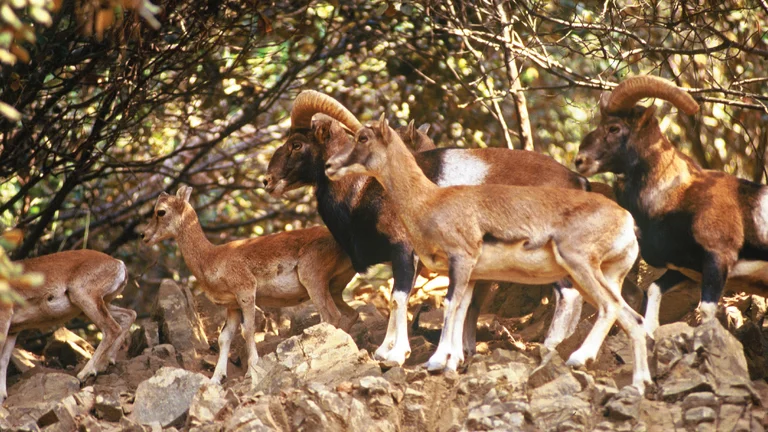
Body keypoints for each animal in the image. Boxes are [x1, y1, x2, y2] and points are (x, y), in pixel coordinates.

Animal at [0, 249, 136, 403]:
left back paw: (84, 374)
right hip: (94, 306)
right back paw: (105, 364)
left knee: (112, 328)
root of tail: (119, 264)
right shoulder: (13, 331)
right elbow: (4, 360)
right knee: (129, 315)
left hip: (84, 297)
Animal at [141, 186, 357, 383]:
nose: (144, 236)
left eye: (161, 211)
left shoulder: (245, 291)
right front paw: (216, 379)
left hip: (313, 281)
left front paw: (252, 371)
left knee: (330, 316)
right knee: (350, 314)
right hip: (334, 288)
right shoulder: (232, 306)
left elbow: (248, 330)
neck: (211, 258)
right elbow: (225, 338)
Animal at [263, 91, 589, 365]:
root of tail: (576, 181)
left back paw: (552, 348)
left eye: (296, 144)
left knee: (569, 295)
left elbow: (398, 298)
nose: (268, 181)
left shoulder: (403, 251)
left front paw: (394, 355)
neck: (363, 189)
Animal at [324, 113, 652, 392]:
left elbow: (448, 304)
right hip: (607, 275)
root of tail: (626, 221)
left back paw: (573, 357)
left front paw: (432, 361)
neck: (430, 200)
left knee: (606, 307)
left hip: (581, 270)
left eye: (363, 137)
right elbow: (462, 308)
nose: (329, 166)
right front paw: (452, 361)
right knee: (631, 316)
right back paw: (638, 384)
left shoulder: (458, 262)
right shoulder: (469, 273)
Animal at [575, 75, 768, 333]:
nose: (580, 161)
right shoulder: (685, 269)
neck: (676, 194)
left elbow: (706, 311)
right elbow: (654, 289)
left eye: (614, 128)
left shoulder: (717, 260)